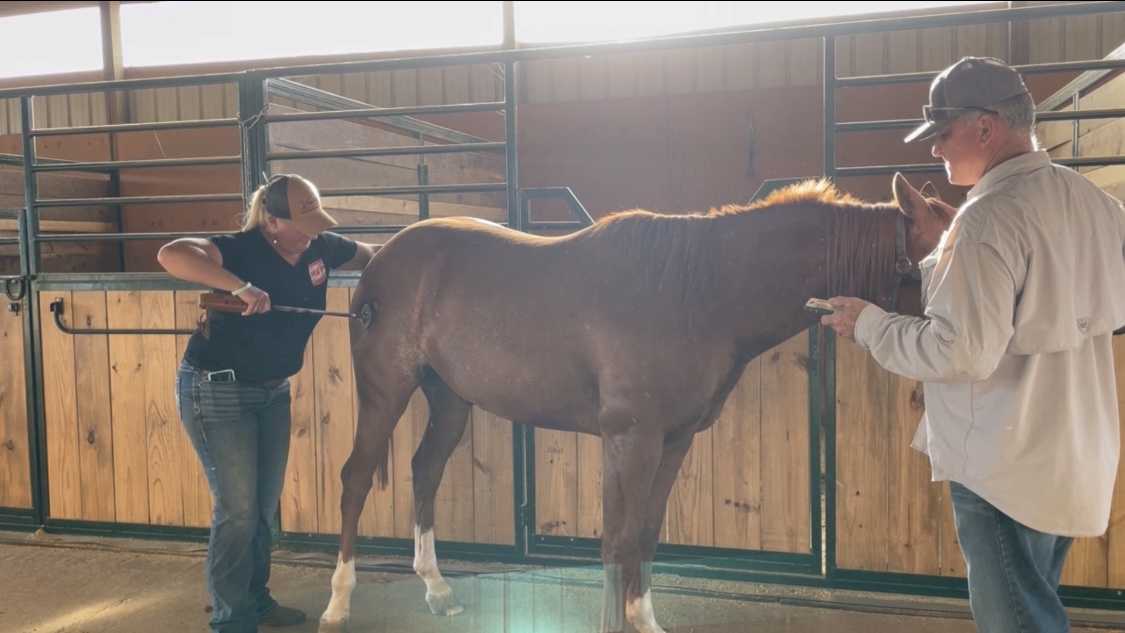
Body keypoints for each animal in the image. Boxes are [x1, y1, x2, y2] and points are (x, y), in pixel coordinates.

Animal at [317, 172, 956, 633]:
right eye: (944, 253)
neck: (699, 292)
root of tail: (381, 258)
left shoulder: (672, 440)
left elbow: (644, 534)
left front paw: (642, 620)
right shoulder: (631, 437)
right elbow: (618, 540)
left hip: (449, 400)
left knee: (424, 471)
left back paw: (438, 590)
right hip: (385, 392)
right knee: (354, 480)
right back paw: (339, 603)